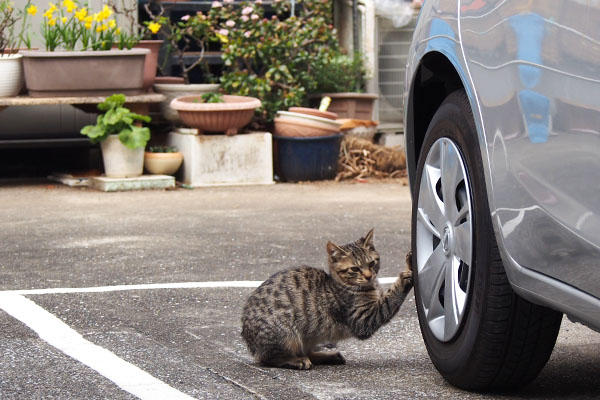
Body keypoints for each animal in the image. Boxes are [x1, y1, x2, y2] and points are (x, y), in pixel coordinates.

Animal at [239, 230, 412, 370]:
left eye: (371, 263)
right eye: (354, 269)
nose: (369, 276)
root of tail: (249, 339)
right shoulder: (363, 320)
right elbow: (390, 300)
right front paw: (406, 276)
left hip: (310, 336)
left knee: (307, 352)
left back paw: (328, 356)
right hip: (285, 335)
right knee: (269, 358)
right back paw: (296, 360)